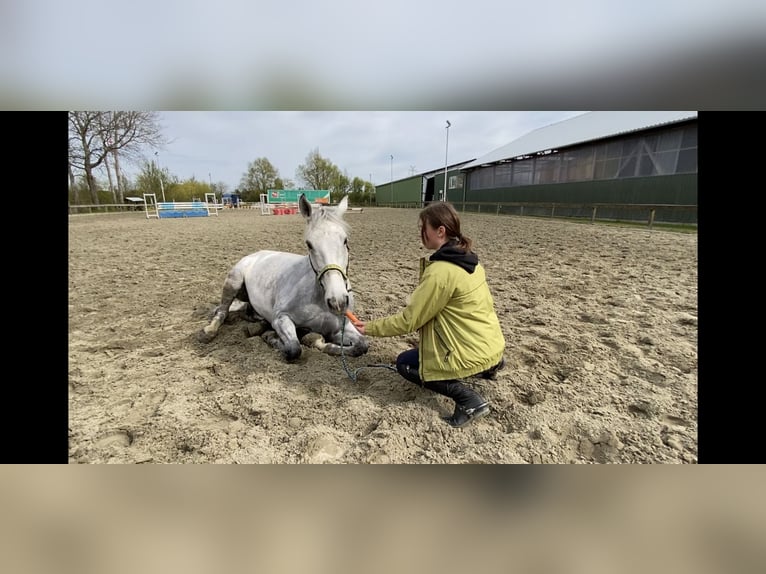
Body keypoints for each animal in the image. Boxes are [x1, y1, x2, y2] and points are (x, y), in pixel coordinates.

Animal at [200, 196, 370, 362]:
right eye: (309, 244)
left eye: (345, 240)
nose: (337, 301)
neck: (317, 298)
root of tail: (255, 255)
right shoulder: (281, 318)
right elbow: (294, 349)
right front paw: (271, 337)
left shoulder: (341, 327)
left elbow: (361, 345)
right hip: (233, 282)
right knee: (222, 311)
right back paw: (208, 332)